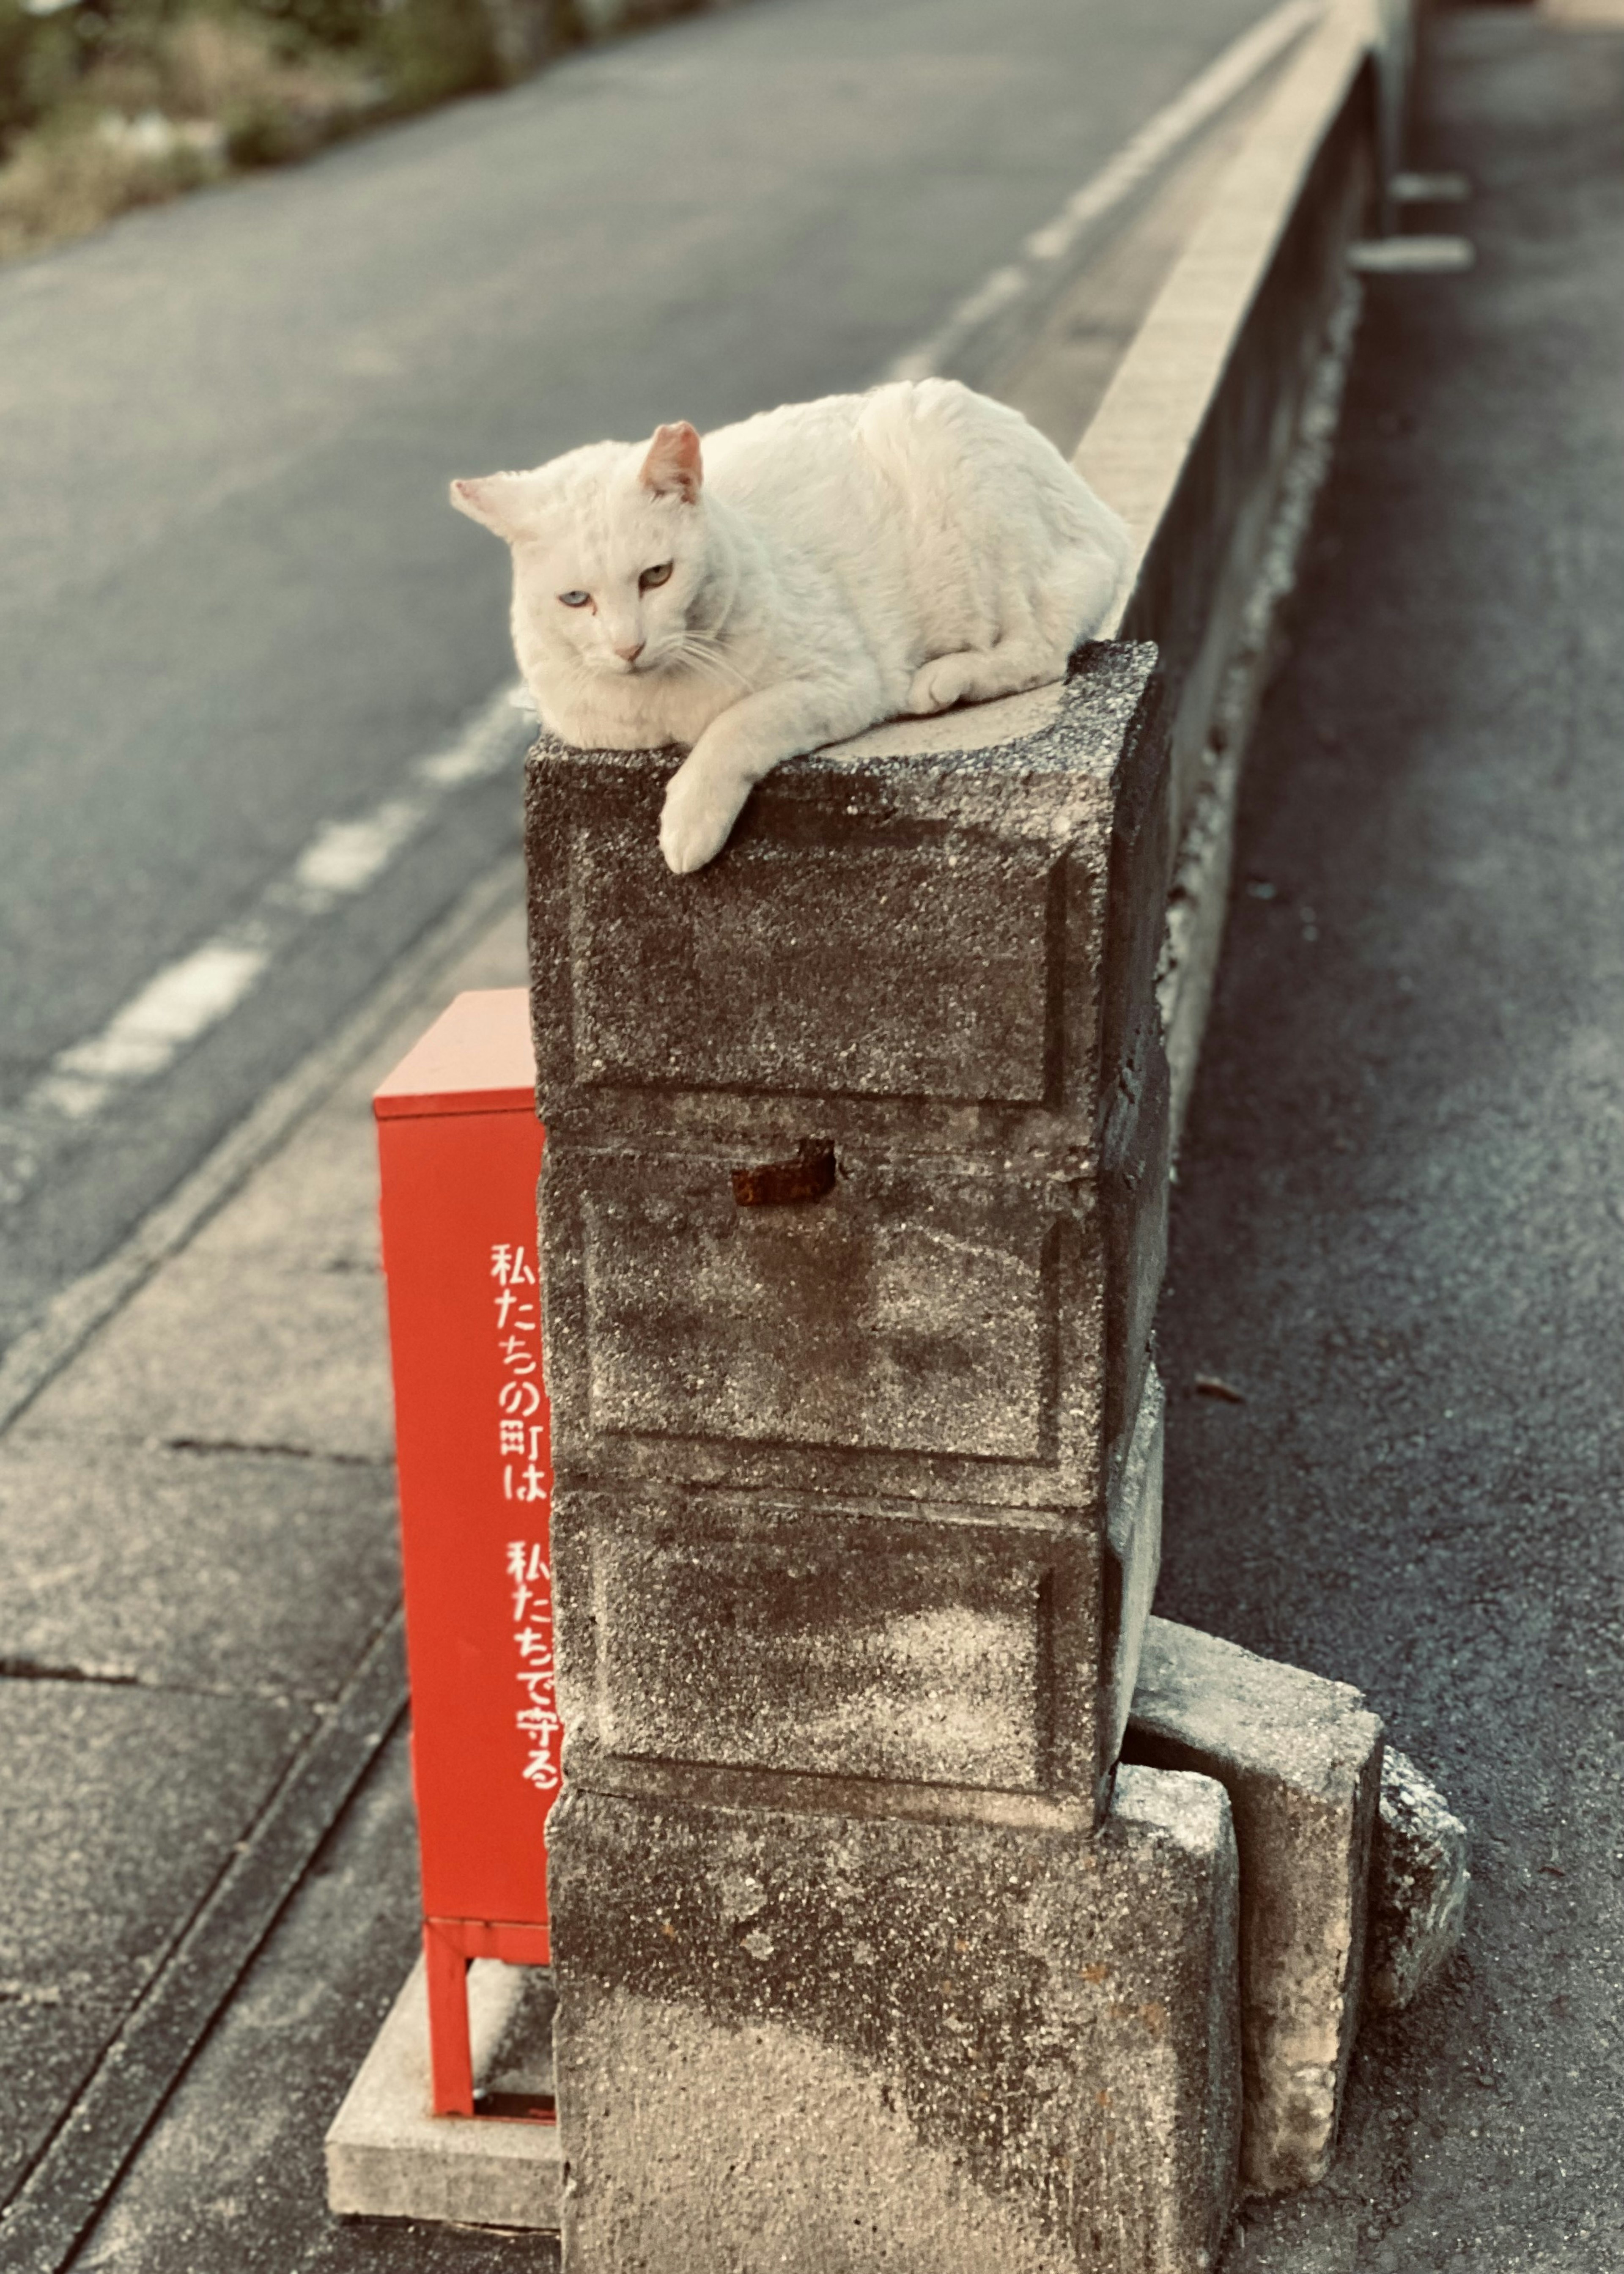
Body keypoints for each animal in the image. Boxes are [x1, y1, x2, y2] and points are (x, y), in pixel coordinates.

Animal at [443, 377, 1128, 873]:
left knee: (1040, 647)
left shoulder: (842, 681)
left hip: (961, 483)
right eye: (575, 599)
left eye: (657, 576)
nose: (628, 646)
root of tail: (1101, 512)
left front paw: (688, 820)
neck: (662, 702)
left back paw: (946, 680)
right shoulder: (590, 726)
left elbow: (737, 725)